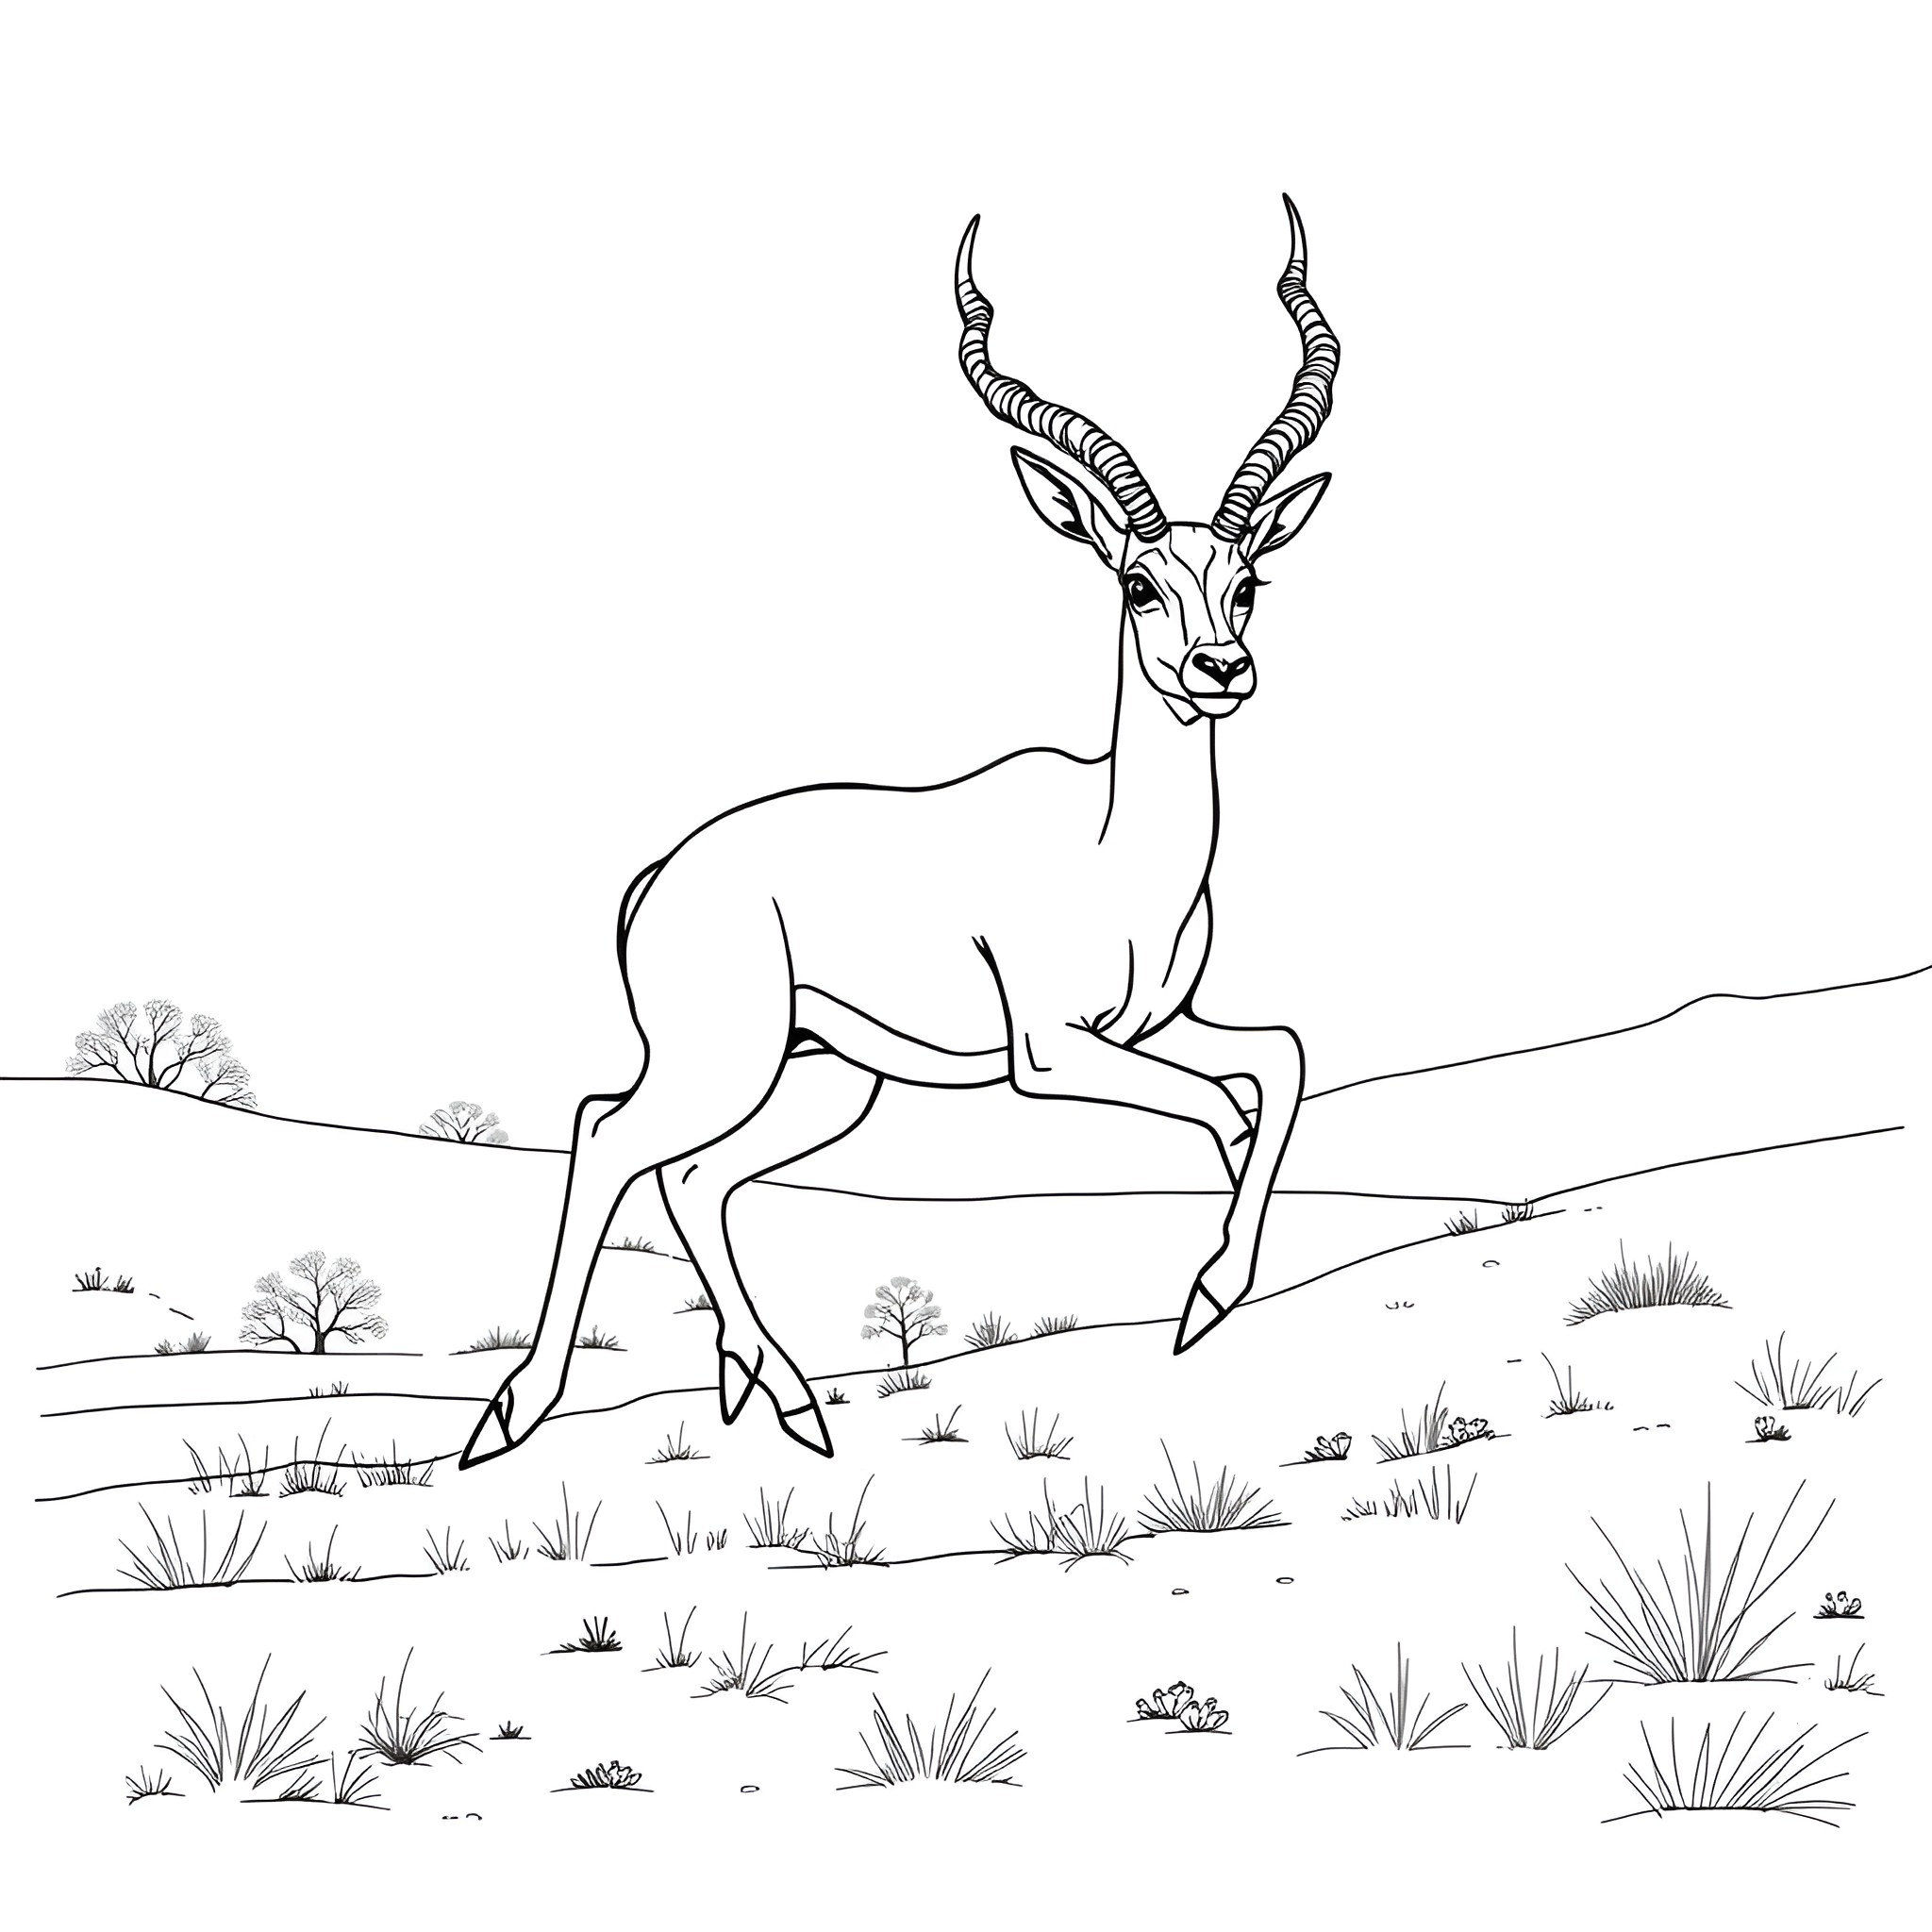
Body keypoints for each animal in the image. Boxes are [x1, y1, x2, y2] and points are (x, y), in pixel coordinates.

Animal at [460, 194, 1339, 1468]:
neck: (1118, 852)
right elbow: (1227, 1104)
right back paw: (513, 1414)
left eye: (1248, 582)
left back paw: (778, 1396)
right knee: (607, 1134)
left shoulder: (1161, 1022)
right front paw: (1204, 1294)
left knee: (696, 1178)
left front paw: (1212, 1292)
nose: (1219, 668)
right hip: (721, 1063)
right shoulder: (1050, 1051)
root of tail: (659, 876)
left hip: (826, 1080)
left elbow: (1279, 1059)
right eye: (1135, 582)